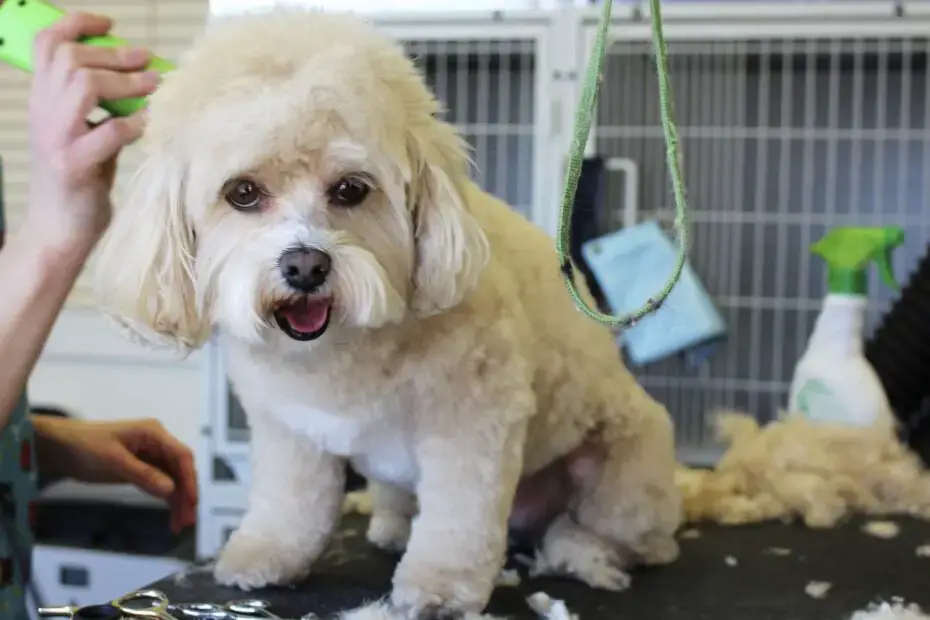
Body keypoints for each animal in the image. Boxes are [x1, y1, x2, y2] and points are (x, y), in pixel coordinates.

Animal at [94, 7, 680, 616]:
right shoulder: (288, 428)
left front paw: (441, 587)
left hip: (621, 471)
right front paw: (265, 553)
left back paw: (582, 550)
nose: (305, 266)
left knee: (632, 536)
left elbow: (458, 517)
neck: (341, 350)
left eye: (351, 189)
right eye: (243, 193)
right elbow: (290, 500)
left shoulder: (473, 422)